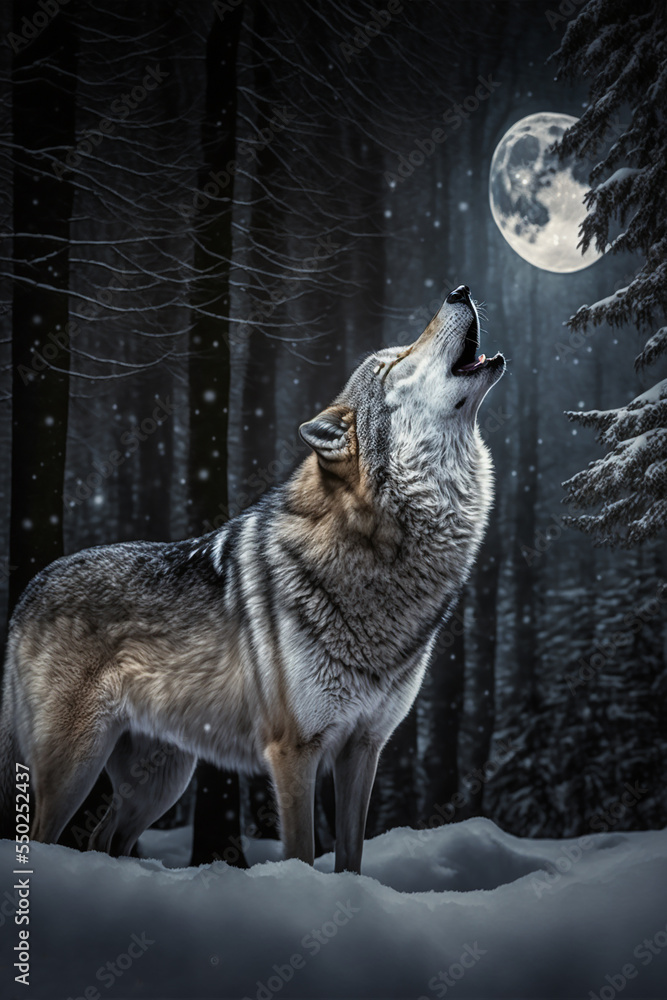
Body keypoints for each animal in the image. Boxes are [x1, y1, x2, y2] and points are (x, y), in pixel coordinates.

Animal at [0, 284, 504, 874]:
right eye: (394, 363)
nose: (460, 290)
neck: (376, 549)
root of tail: (30, 588)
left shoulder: (364, 748)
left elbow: (351, 856)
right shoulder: (294, 751)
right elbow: (303, 853)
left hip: (159, 784)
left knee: (103, 839)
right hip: (76, 769)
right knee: (45, 837)